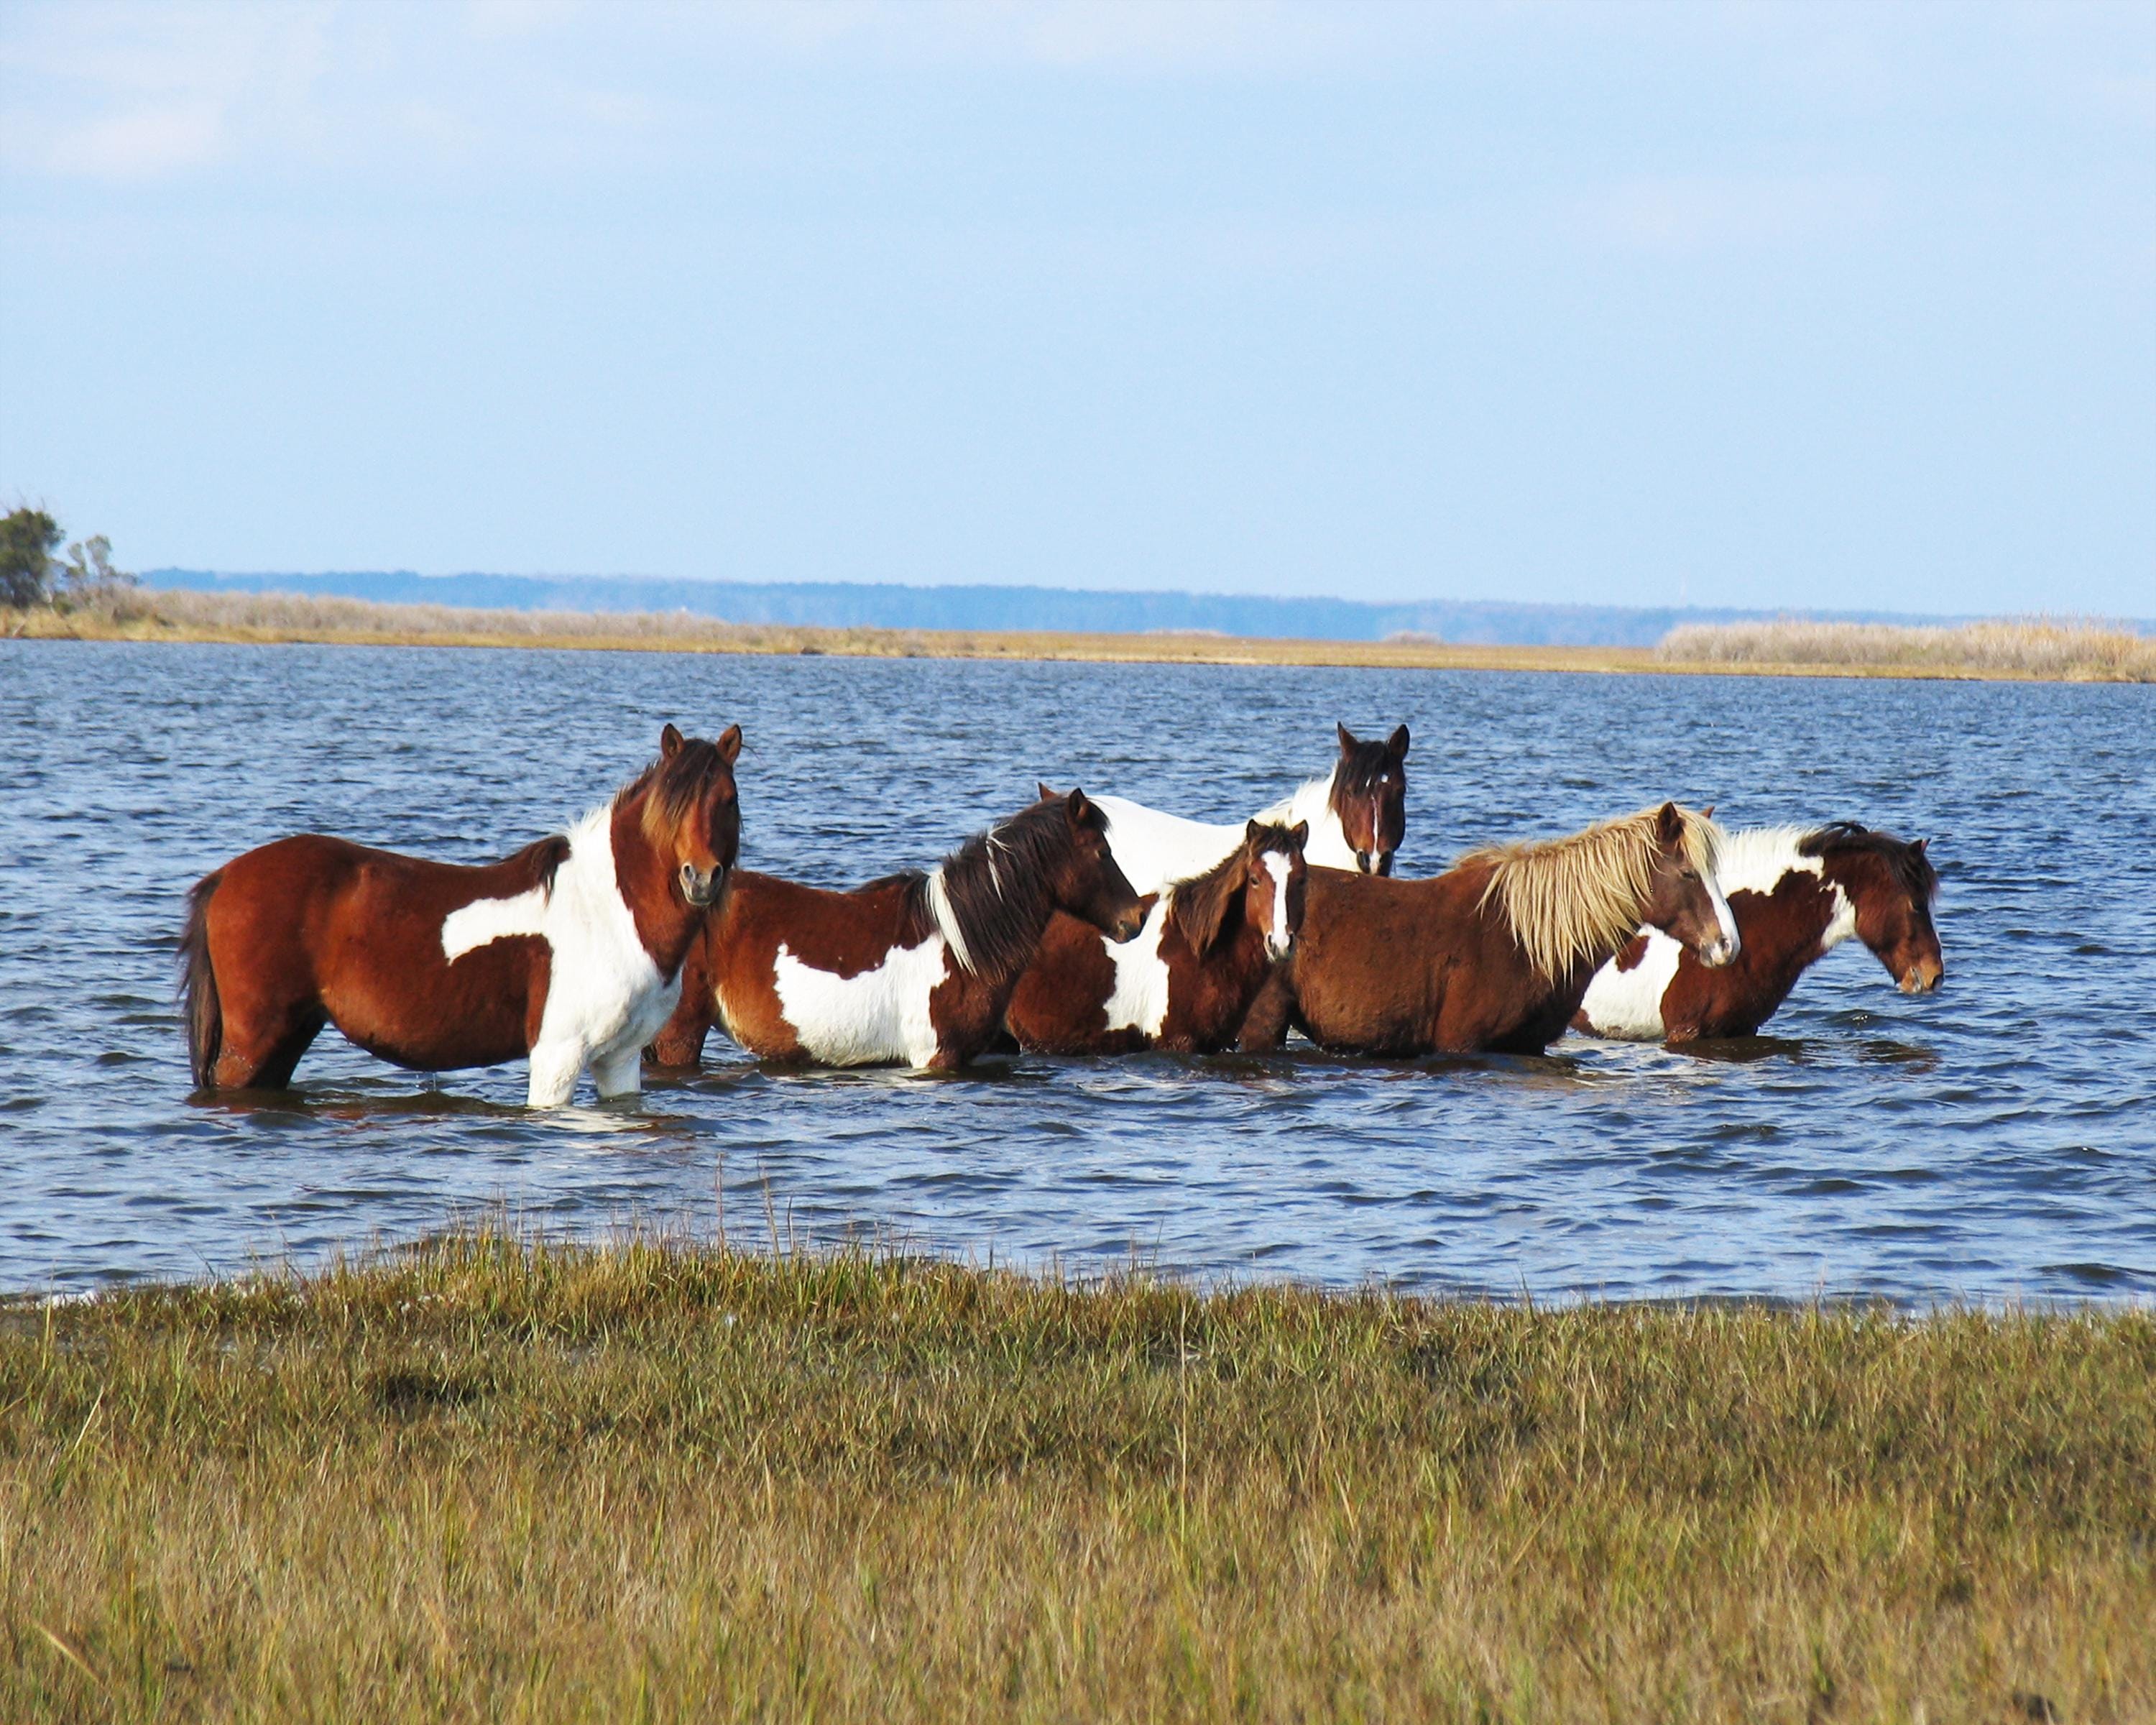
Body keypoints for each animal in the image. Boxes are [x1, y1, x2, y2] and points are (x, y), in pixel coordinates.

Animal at [178, 722, 742, 1107]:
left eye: (728, 800)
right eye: (672, 806)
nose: (700, 878)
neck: (607, 910)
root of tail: (227, 876)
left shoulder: (620, 1059)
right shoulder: (558, 1055)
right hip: (253, 1041)